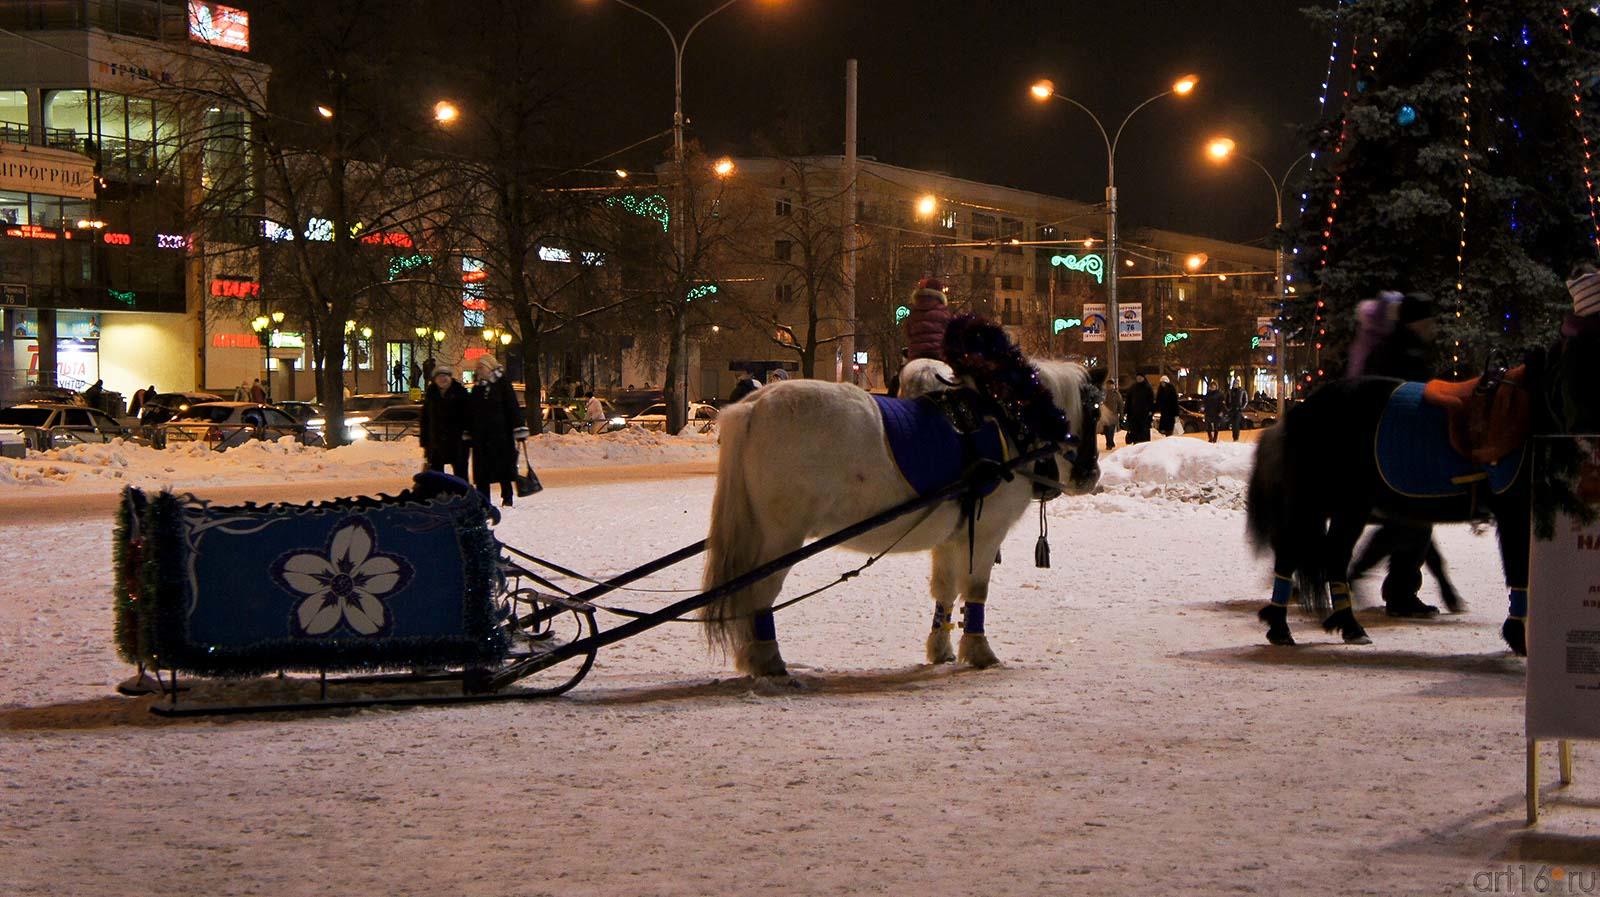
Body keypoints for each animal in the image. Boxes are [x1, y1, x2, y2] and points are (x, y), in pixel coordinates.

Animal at [700, 353, 1100, 674]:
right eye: (1094, 411)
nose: (1091, 474)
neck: (1008, 426)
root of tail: (755, 404)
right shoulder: (986, 531)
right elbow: (976, 589)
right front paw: (979, 650)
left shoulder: (952, 536)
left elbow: (945, 590)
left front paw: (941, 647)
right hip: (780, 538)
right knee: (758, 594)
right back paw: (767, 658)